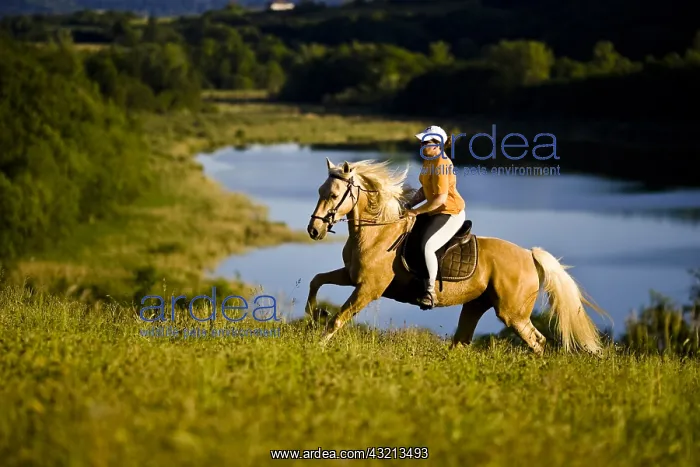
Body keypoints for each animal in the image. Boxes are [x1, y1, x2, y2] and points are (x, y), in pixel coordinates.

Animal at [305, 157, 607, 355]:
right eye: (319, 192)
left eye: (334, 195)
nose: (314, 230)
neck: (378, 231)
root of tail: (529, 256)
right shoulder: (351, 276)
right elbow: (316, 280)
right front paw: (312, 314)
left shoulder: (369, 288)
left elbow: (338, 319)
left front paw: (316, 345)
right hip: (476, 305)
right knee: (461, 342)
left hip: (513, 314)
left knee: (537, 342)